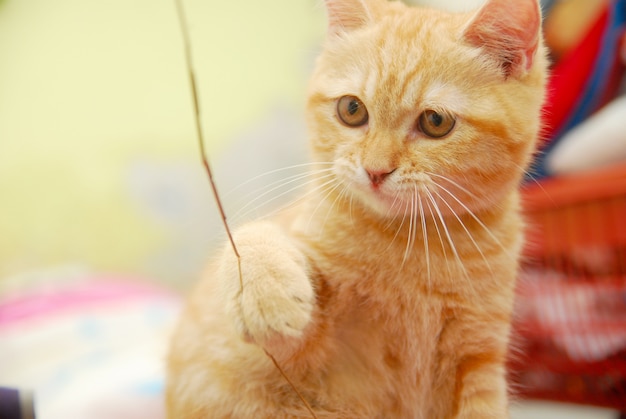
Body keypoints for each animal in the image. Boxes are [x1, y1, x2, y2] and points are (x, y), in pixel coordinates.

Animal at [166, 0, 544, 416]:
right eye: (351, 109)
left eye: (436, 121)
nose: (376, 170)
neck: (412, 240)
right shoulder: (289, 355)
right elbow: (252, 234)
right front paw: (265, 293)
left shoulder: (478, 359)